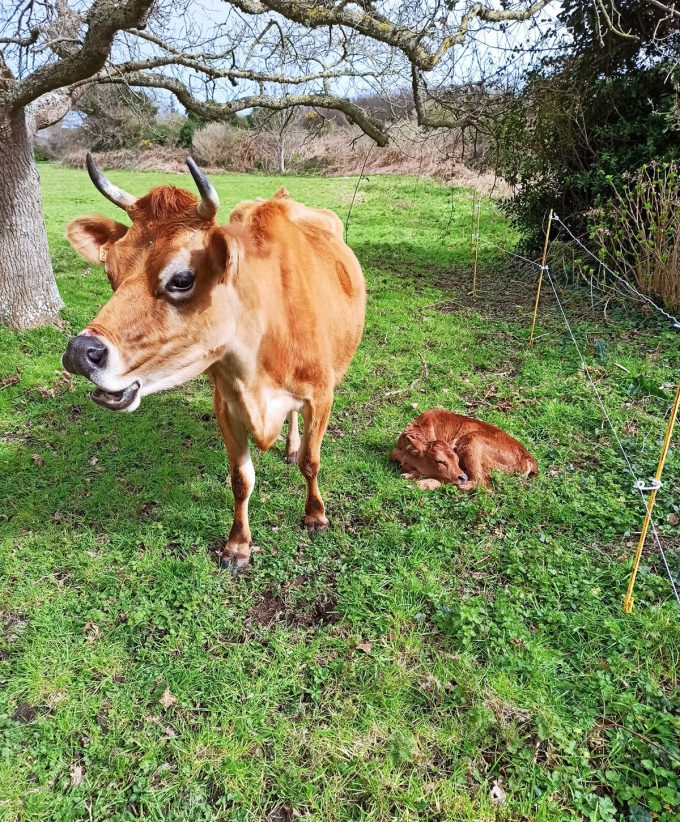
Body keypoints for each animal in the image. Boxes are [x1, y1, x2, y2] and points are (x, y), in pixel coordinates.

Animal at [62, 155, 366, 571]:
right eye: (112, 273)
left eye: (182, 278)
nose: (80, 352)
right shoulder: (226, 404)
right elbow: (241, 478)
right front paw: (238, 545)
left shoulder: (321, 397)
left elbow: (312, 461)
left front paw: (315, 515)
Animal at [391, 409, 538, 491]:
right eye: (439, 460)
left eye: (457, 460)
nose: (462, 477)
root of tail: (528, 459)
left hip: (473, 442)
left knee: (482, 483)